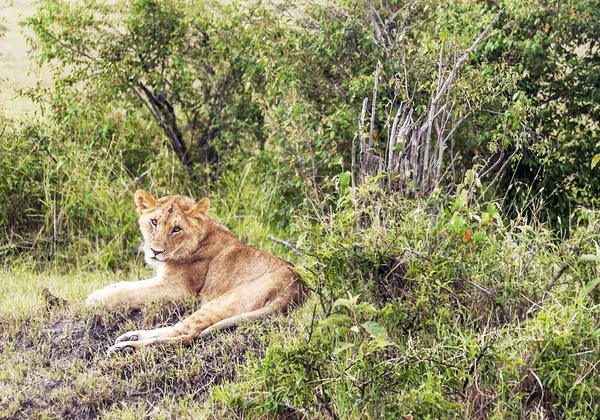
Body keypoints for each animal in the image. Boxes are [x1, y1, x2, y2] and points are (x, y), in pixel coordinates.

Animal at [85, 190, 304, 354]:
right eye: (154, 222)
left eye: (176, 229)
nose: (155, 251)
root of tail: (296, 288)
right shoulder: (162, 279)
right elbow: (128, 285)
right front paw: (105, 289)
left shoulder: (177, 289)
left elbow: (131, 293)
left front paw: (95, 299)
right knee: (178, 329)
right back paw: (130, 337)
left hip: (221, 302)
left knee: (185, 336)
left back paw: (127, 347)